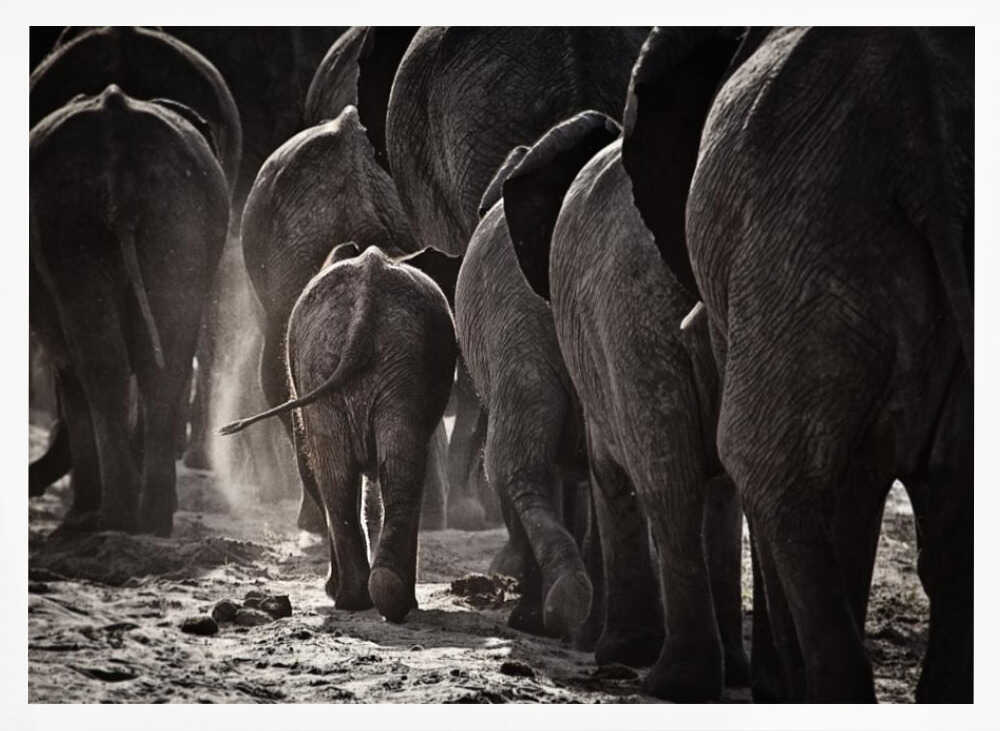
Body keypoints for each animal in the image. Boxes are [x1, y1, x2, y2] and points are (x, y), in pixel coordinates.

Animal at [220, 245, 457, 622]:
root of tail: (366, 299)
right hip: (365, 362)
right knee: (374, 471)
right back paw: (374, 597)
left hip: (366, 363)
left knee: (347, 474)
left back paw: (361, 597)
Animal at [506, 109, 748, 700]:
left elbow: (609, 473)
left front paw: (614, 651)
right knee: (716, 485)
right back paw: (723, 673)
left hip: (630, 323)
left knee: (667, 481)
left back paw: (670, 679)